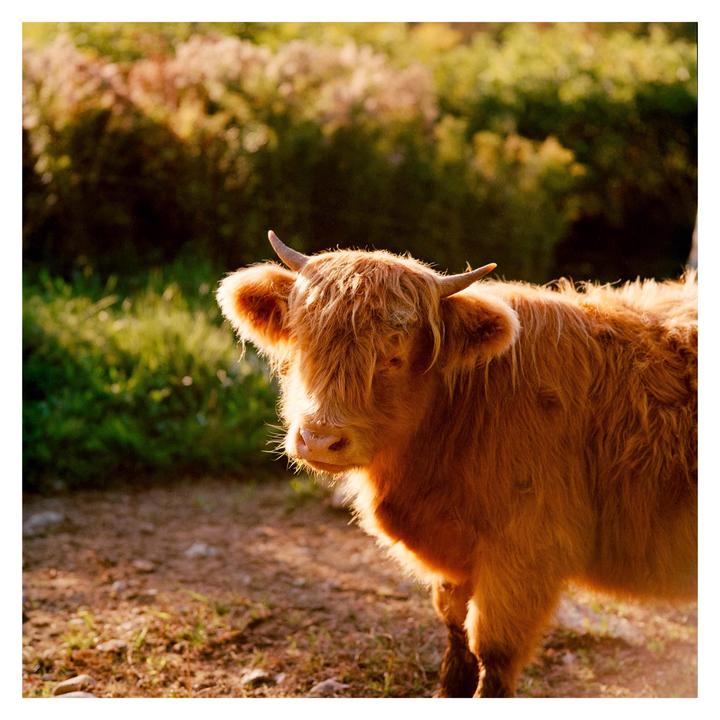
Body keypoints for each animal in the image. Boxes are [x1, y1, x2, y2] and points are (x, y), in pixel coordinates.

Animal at [217, 231, 697, 697]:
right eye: (303, 341)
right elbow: (454, 627)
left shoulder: (526, 553)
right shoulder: (455, 554)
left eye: (394, 357)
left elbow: (493, 649)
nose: (319, 438)